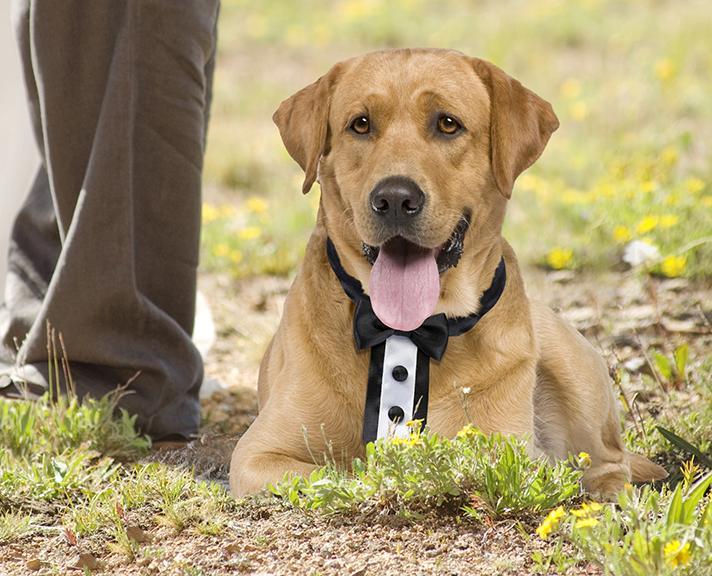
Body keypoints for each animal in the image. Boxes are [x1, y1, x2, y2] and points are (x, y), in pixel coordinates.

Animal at [229, 49, 668, 498]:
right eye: (361, 124)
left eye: (447, 123)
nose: (395, 198)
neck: (408, 330)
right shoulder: (258, 455)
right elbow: (337, 472)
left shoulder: (502, 449)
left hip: (572, 365)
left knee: (610, 462)